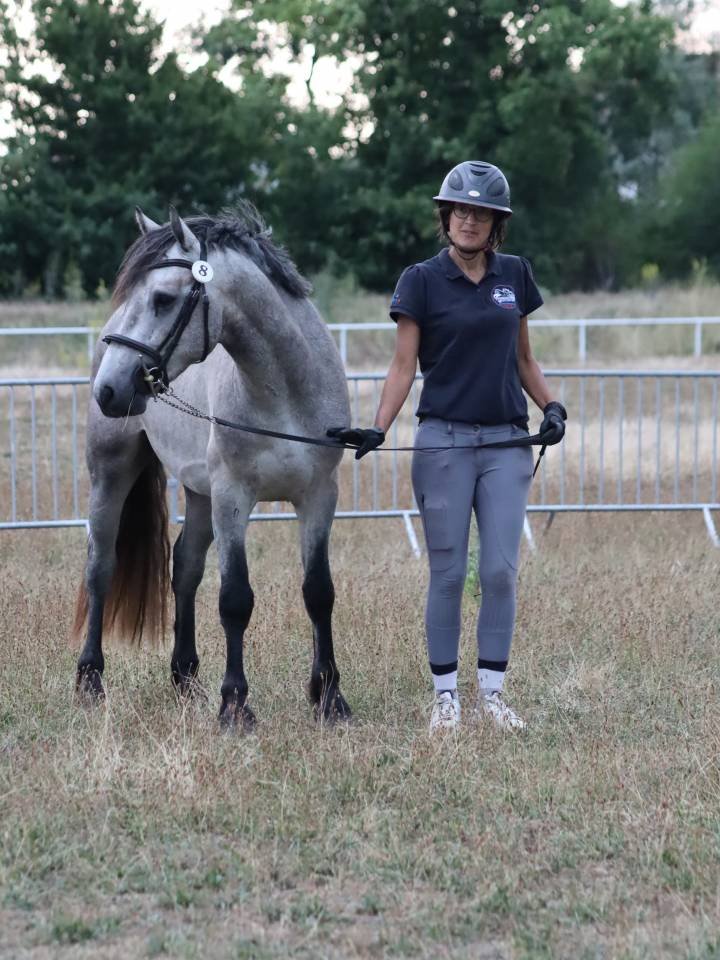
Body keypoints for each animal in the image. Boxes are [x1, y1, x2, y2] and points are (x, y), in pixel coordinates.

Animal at [73, 203, 352, 728]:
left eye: (163, 298)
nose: (109, 390)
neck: (282, 391)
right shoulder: (232, 498)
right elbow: (235, 599)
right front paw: (235, 705)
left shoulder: (318, 496)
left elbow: (319, 591)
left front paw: (329, 697)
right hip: (112, 474)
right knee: (101, 567)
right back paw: (89, 680)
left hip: (199, 494)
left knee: (185, 567)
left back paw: (185, 678)